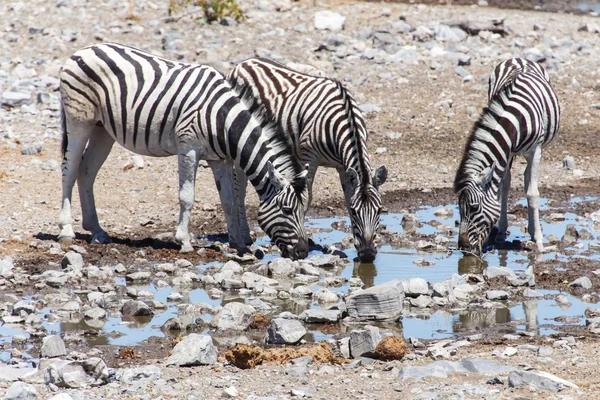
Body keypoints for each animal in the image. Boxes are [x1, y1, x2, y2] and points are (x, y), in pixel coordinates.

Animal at [57, 41, 310, 260]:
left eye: (303, 211)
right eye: (288, 210)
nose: (303, 252)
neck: (223, 120)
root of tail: (83, 49)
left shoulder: (220, 159)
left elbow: (228, 200)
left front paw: (238, 244)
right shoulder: (188, 148)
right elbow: (187, 196)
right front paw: (184, 241)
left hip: (103, 130)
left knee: (86, 172)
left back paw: (97, 231)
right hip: (79, 120)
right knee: (69, 170)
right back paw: (66, 230)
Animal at [227, 57, 386, 262]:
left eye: (380, 210)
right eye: (356, 211)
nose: (367, 254)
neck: (345, 118)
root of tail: (245, 62)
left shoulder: (342, 166)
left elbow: (347, 195)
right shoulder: (309, 157)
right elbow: (306, 198)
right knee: (240, 185)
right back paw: (245, 235)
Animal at [458, 57, 560, 255]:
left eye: (474, 208)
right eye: (459, 207)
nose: (463, 247)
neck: (514, 119)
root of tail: (518, 58)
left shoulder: (536, 149)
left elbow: (532, 193)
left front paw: (539, 241)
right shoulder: (507, 151)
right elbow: (504, 187)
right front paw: (500, 233)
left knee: (528, 180)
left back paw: (533, 230)